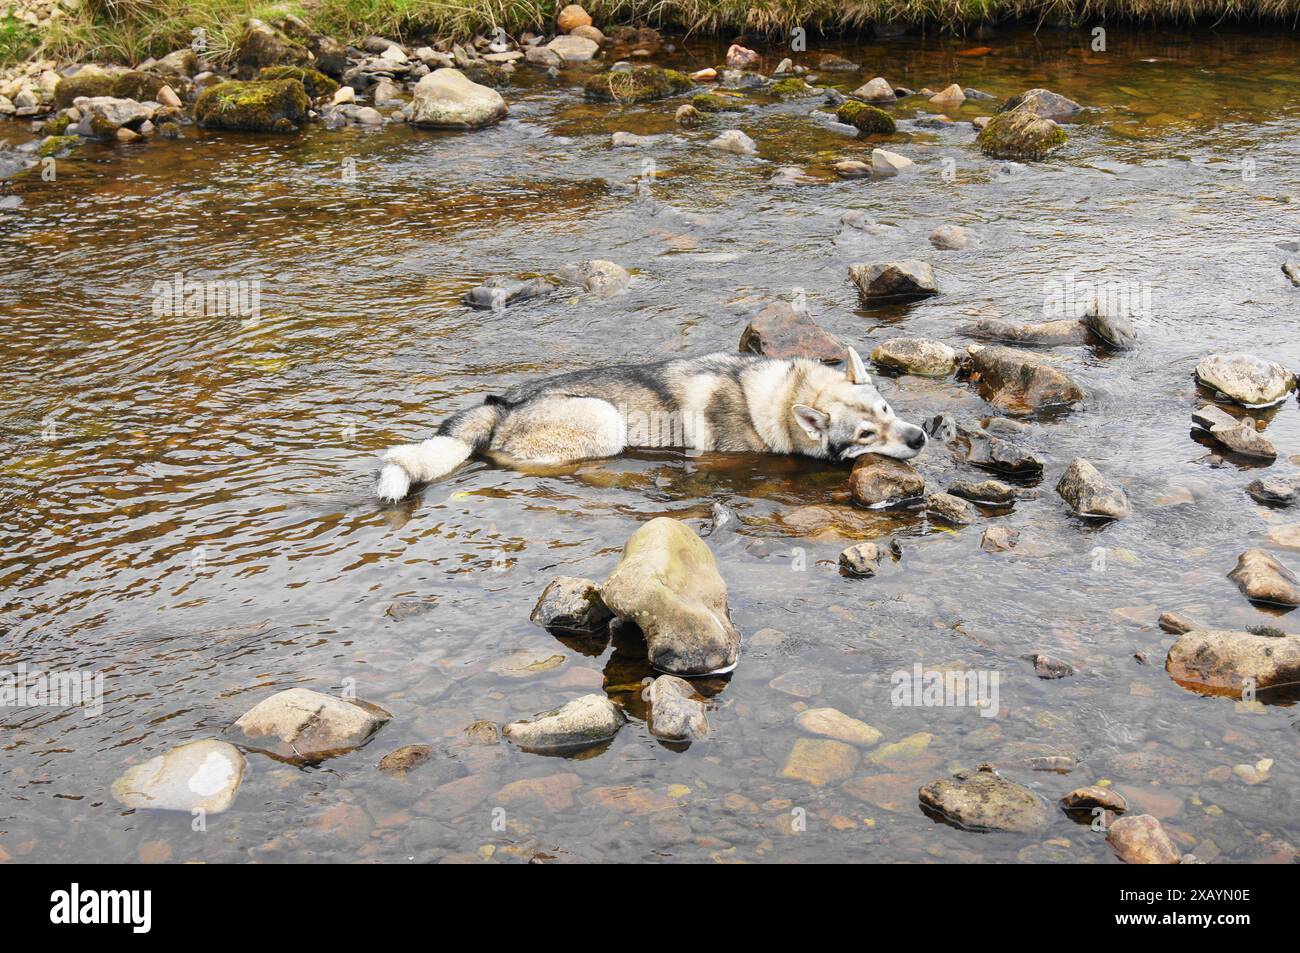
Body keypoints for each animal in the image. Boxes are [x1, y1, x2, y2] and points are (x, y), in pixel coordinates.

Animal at [371, 345, 930, 501]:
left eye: (885, 410)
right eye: (864, 435)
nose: (920, 437)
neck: (780, 398)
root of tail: (502, 404)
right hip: (605, 421)